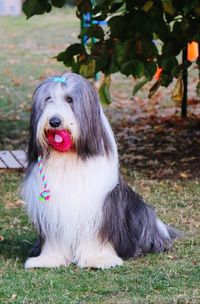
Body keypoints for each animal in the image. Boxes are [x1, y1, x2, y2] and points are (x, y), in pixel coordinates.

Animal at [21, 71, 178, 268]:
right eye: (47, 99)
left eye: (69, 99)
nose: (54, 121)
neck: (69, 157)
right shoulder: (52, 211)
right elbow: (54, 239)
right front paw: (48, 259)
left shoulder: (98, 208)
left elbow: (96, 235)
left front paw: (98, 259)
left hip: (142, 215)